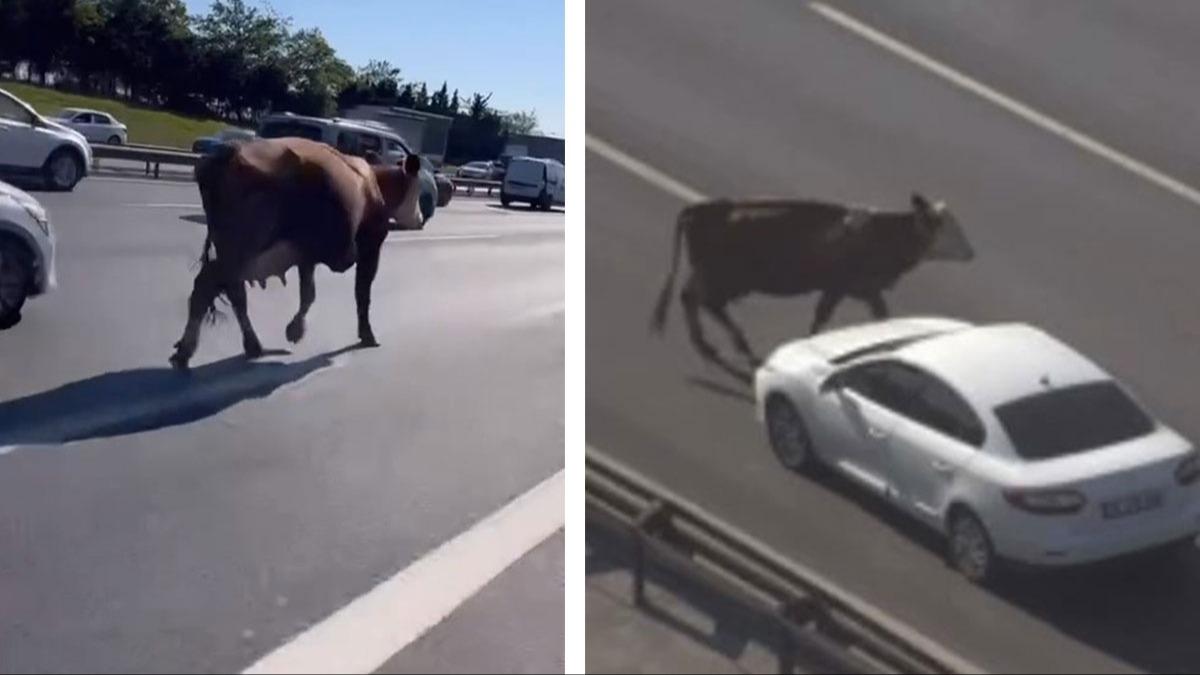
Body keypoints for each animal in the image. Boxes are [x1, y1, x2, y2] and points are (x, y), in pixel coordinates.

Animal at [169, 135, 422, 367]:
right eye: (419, 190)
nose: (421, 218)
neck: (375, 183)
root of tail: (229, 153)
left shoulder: (306, 254)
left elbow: (308, 292)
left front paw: (295, 329)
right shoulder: (371, 247)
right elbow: (362, 293)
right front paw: (367, 335)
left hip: (230, 248)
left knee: (232, 291)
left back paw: (251, 346)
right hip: (241, 247)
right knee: (208, 285)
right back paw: (186, 352)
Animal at [652, 192, 969, 365]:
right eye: (944, 226)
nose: (971, 252)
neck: (882, 233)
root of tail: (705, 208)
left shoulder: (866, 289)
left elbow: (882, 318)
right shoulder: (838, 286)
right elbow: (821, 318)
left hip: (712, 274)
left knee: (691, 297)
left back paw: (708, 345)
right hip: (729, 277)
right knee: (705, 301)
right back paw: (735, 347)